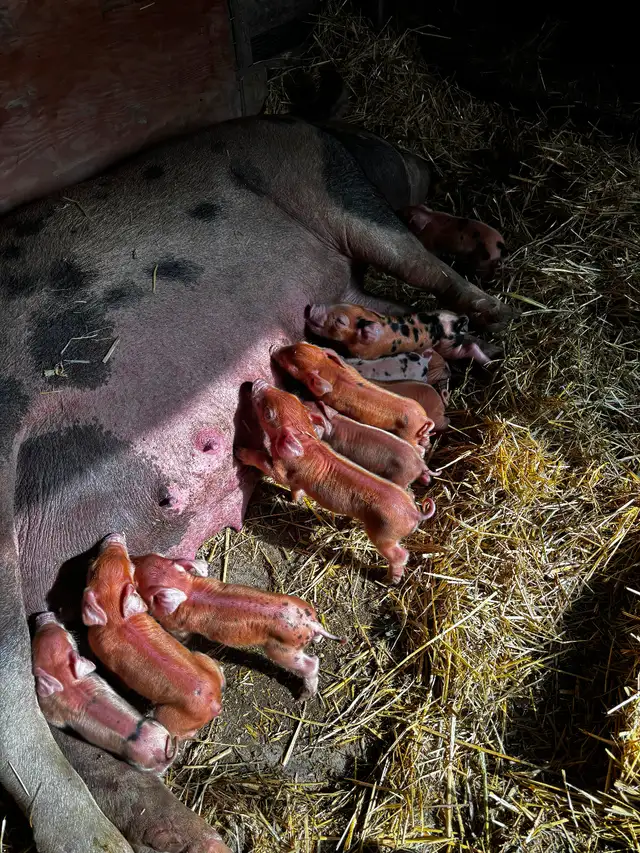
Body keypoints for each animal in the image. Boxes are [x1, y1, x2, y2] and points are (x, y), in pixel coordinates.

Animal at [32, 612, 176, 773]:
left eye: (65, 633)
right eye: (37, 639)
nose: (44, 614)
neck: (63, 679)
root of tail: (161, 755)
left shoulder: (53, 712)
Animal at [82, 533, 225, 739]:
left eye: (92, 567)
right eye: (129, 566)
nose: (114, 535)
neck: (115, 615)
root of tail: (214, 704)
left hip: (168, 716)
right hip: (202, 658)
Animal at [132, 553, 343, 699]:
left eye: (137, 580)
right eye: (148, 556)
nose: (132, 557)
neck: (187, 589)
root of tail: (310, 623)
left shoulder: (179, 627)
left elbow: (181, 636)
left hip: (282, 649)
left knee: (312, 663)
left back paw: (303, 697)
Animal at [273, 342, 435, 449]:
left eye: (292, 368)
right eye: (304, 343)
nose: (274, 350)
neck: (328, 370)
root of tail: (422, 419)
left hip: (408, 435)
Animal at [305, 302, 494, 364]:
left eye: (340, 321)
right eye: (336, 304)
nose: (310, 307)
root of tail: (457, 323)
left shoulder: (367, 354)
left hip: (448, 347)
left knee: (468, 348)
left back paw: (488, 363)